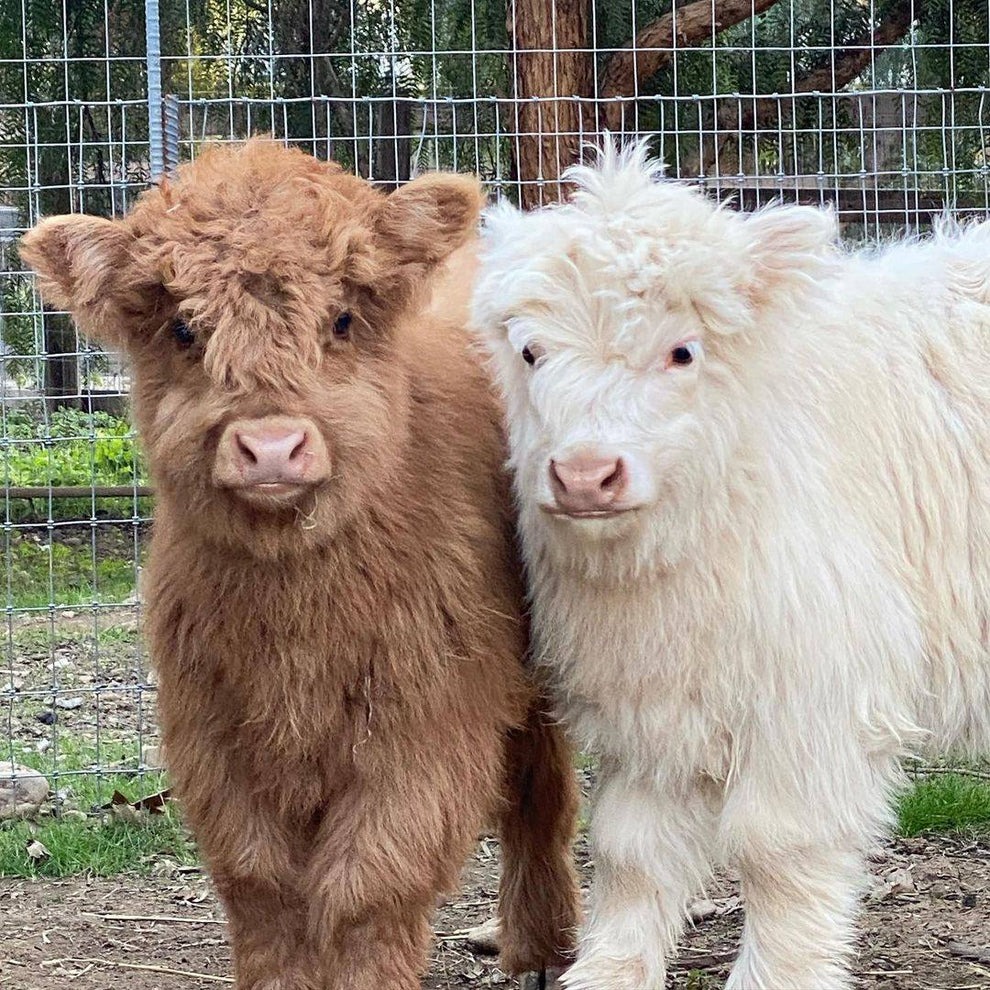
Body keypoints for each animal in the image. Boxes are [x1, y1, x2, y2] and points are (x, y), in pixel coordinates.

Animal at [21, 140, 580, 990]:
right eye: (183, 327)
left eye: (341, 317)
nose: (272, 445)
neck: (295, 613)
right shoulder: (213, 725)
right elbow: (263, 888)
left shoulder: (426, 715)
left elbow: (368, 886)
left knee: (539, 794)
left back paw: (542, 947)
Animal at [470, 147, 990, 990]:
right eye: (530, 351)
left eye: (683, 350)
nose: (585, 475)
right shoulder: (652, 699)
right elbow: (630, 851)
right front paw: (610, 971)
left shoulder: (812, 698)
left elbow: (777, 849)